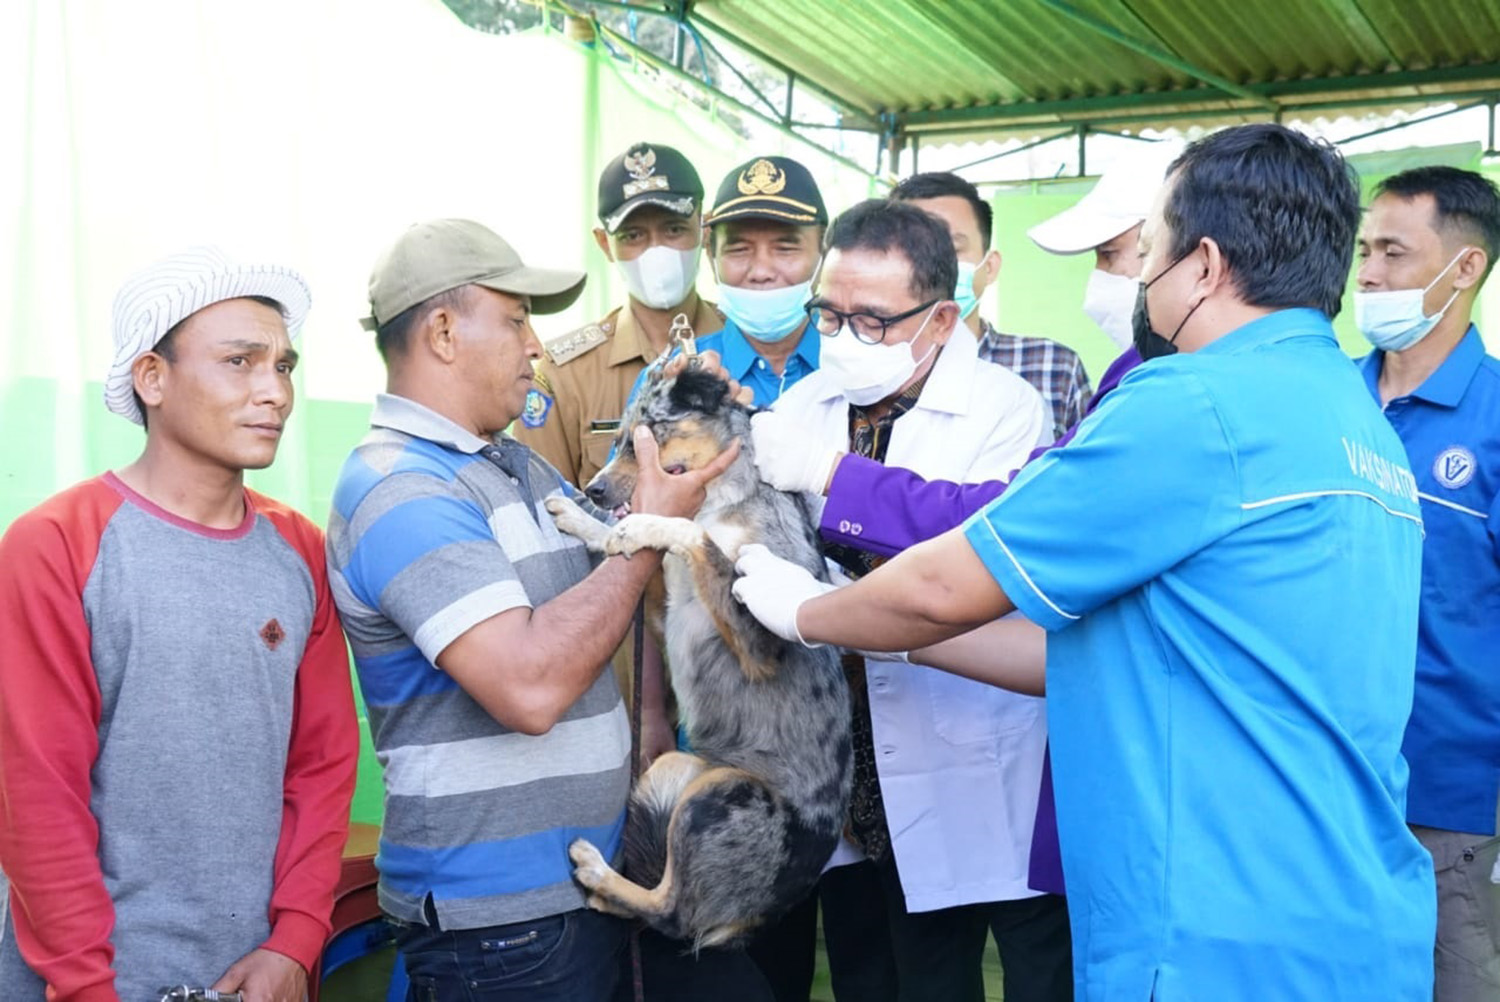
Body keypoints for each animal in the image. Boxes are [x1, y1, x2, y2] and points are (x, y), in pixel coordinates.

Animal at [543, 366, 852, 948]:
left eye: (647, 433)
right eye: (617, 436)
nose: (592, 488)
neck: (726, 496)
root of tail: (758, 915)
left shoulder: (763, 640)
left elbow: (693, 532)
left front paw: (643, 525)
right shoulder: (667, 612)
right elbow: (633, 543)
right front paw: (581, 518)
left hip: (718, 797)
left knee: (672, 913)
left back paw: (595, 870)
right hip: (676, 766)